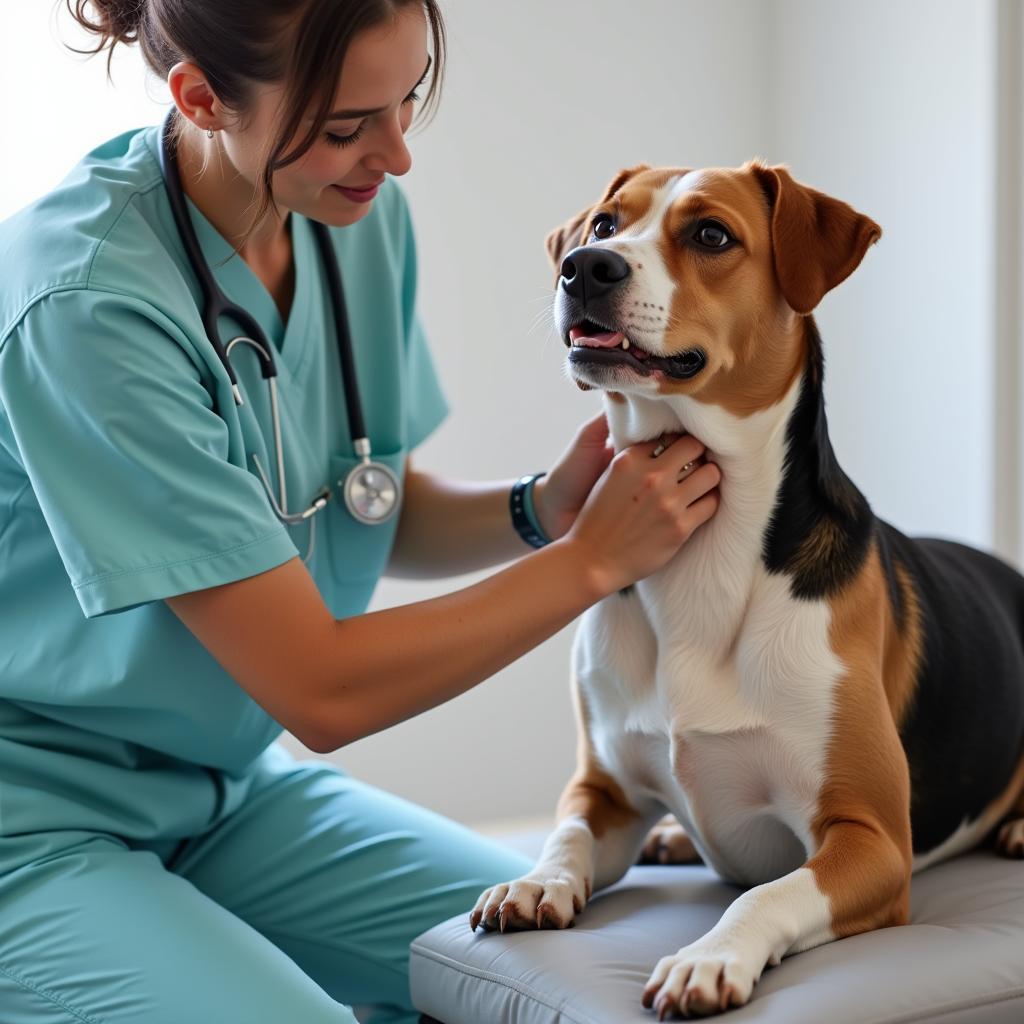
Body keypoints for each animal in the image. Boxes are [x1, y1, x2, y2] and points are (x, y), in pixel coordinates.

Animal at [468, 161, 1024, 1015]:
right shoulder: (603, 790)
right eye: (605, 224)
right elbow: (566, 832)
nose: (585, 268)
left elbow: (766, 892)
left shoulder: (870, 837)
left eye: (711, 235)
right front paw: (536, 881)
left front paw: (707, 957)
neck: (704, 559)